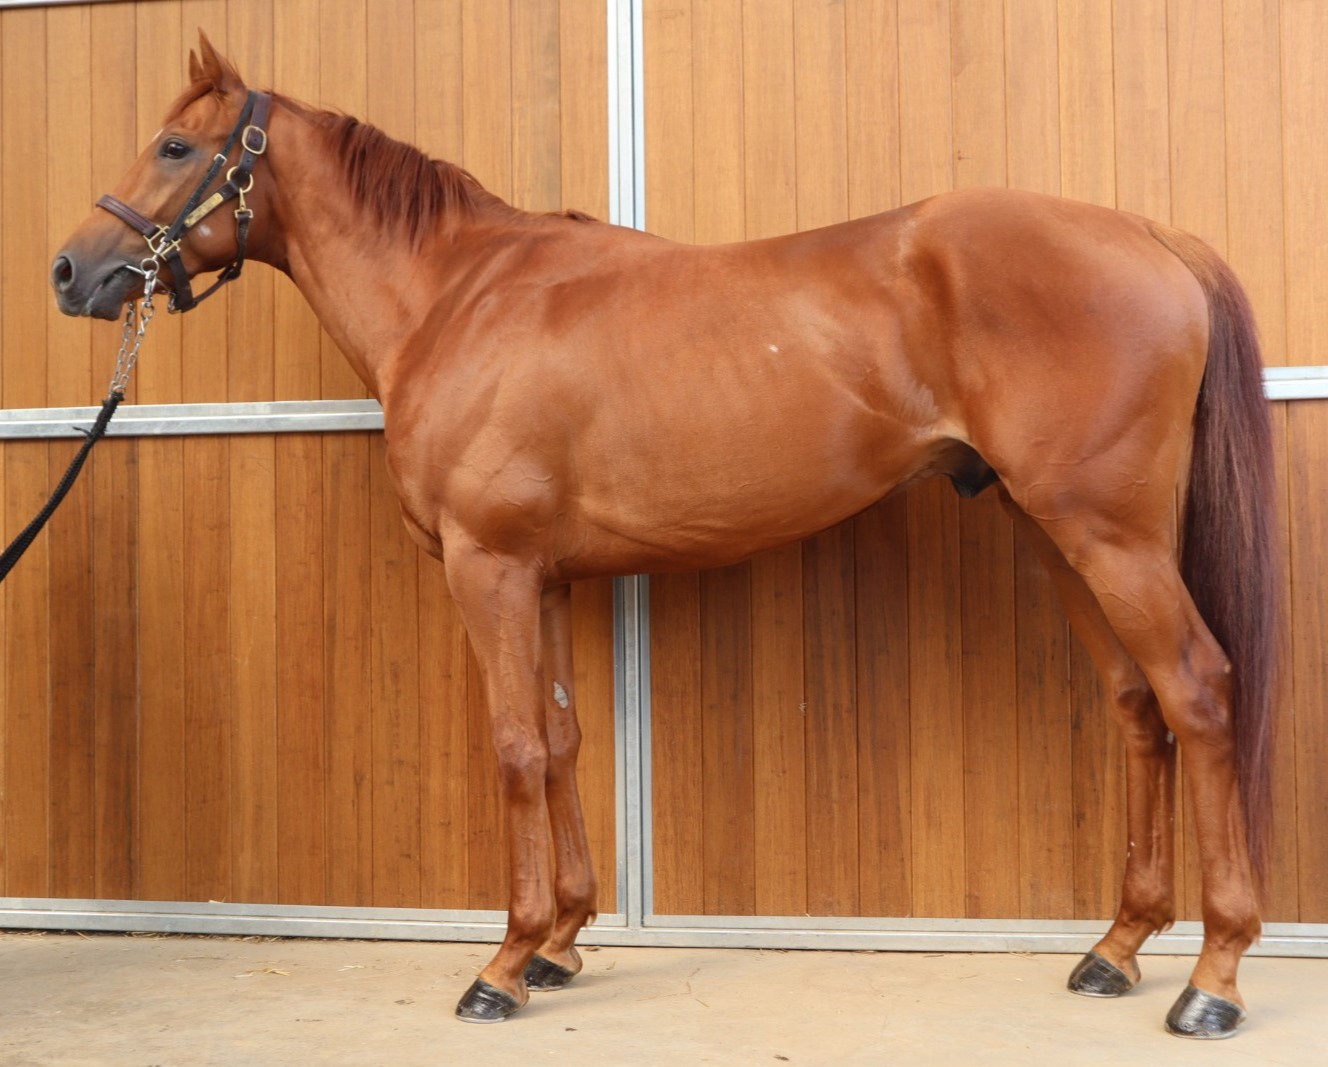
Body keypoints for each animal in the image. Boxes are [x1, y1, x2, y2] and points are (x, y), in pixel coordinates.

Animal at [51, 35, 1278, 1039]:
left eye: (174, 144)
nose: (72, 271)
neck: (459, 297)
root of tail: (1150, 235)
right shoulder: (541, 577)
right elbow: (559, 740)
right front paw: (560, 941)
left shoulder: (489, 568)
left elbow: (511, 748)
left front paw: (502, 963)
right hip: (1056, 534)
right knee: (1137, 706)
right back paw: (1115, 947)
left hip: (1109, 537)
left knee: (1198, 689)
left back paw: (1210, 978)